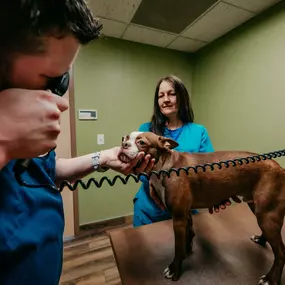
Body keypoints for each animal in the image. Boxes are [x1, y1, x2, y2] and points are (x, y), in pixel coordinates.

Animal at [119, 131, 284, 284]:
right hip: (259, 209)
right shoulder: (185, 215)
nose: (123, 144)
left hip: (267, 216)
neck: (165, 165)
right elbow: (187, 236)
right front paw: (186, 251)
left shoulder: (178, 218)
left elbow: (177, 247)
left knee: (281, 252)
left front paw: (174, 269)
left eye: (141, 142)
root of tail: (279, 167)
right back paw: (261, 240)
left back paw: (270, 279)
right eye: (124, 138)